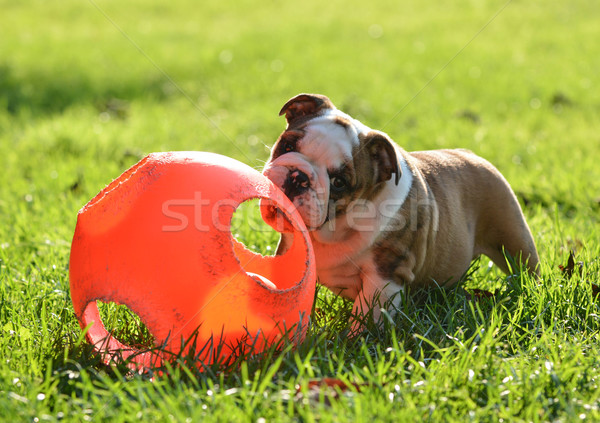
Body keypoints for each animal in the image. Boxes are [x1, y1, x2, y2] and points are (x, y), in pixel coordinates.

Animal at [262, 94, 540, 328]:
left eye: (339, 182)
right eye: (287, 146)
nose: (299, 177)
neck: (335, 227)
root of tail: (471, 154)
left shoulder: (385, 276)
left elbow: (367, 316)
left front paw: (356, 342)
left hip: (512, 238)